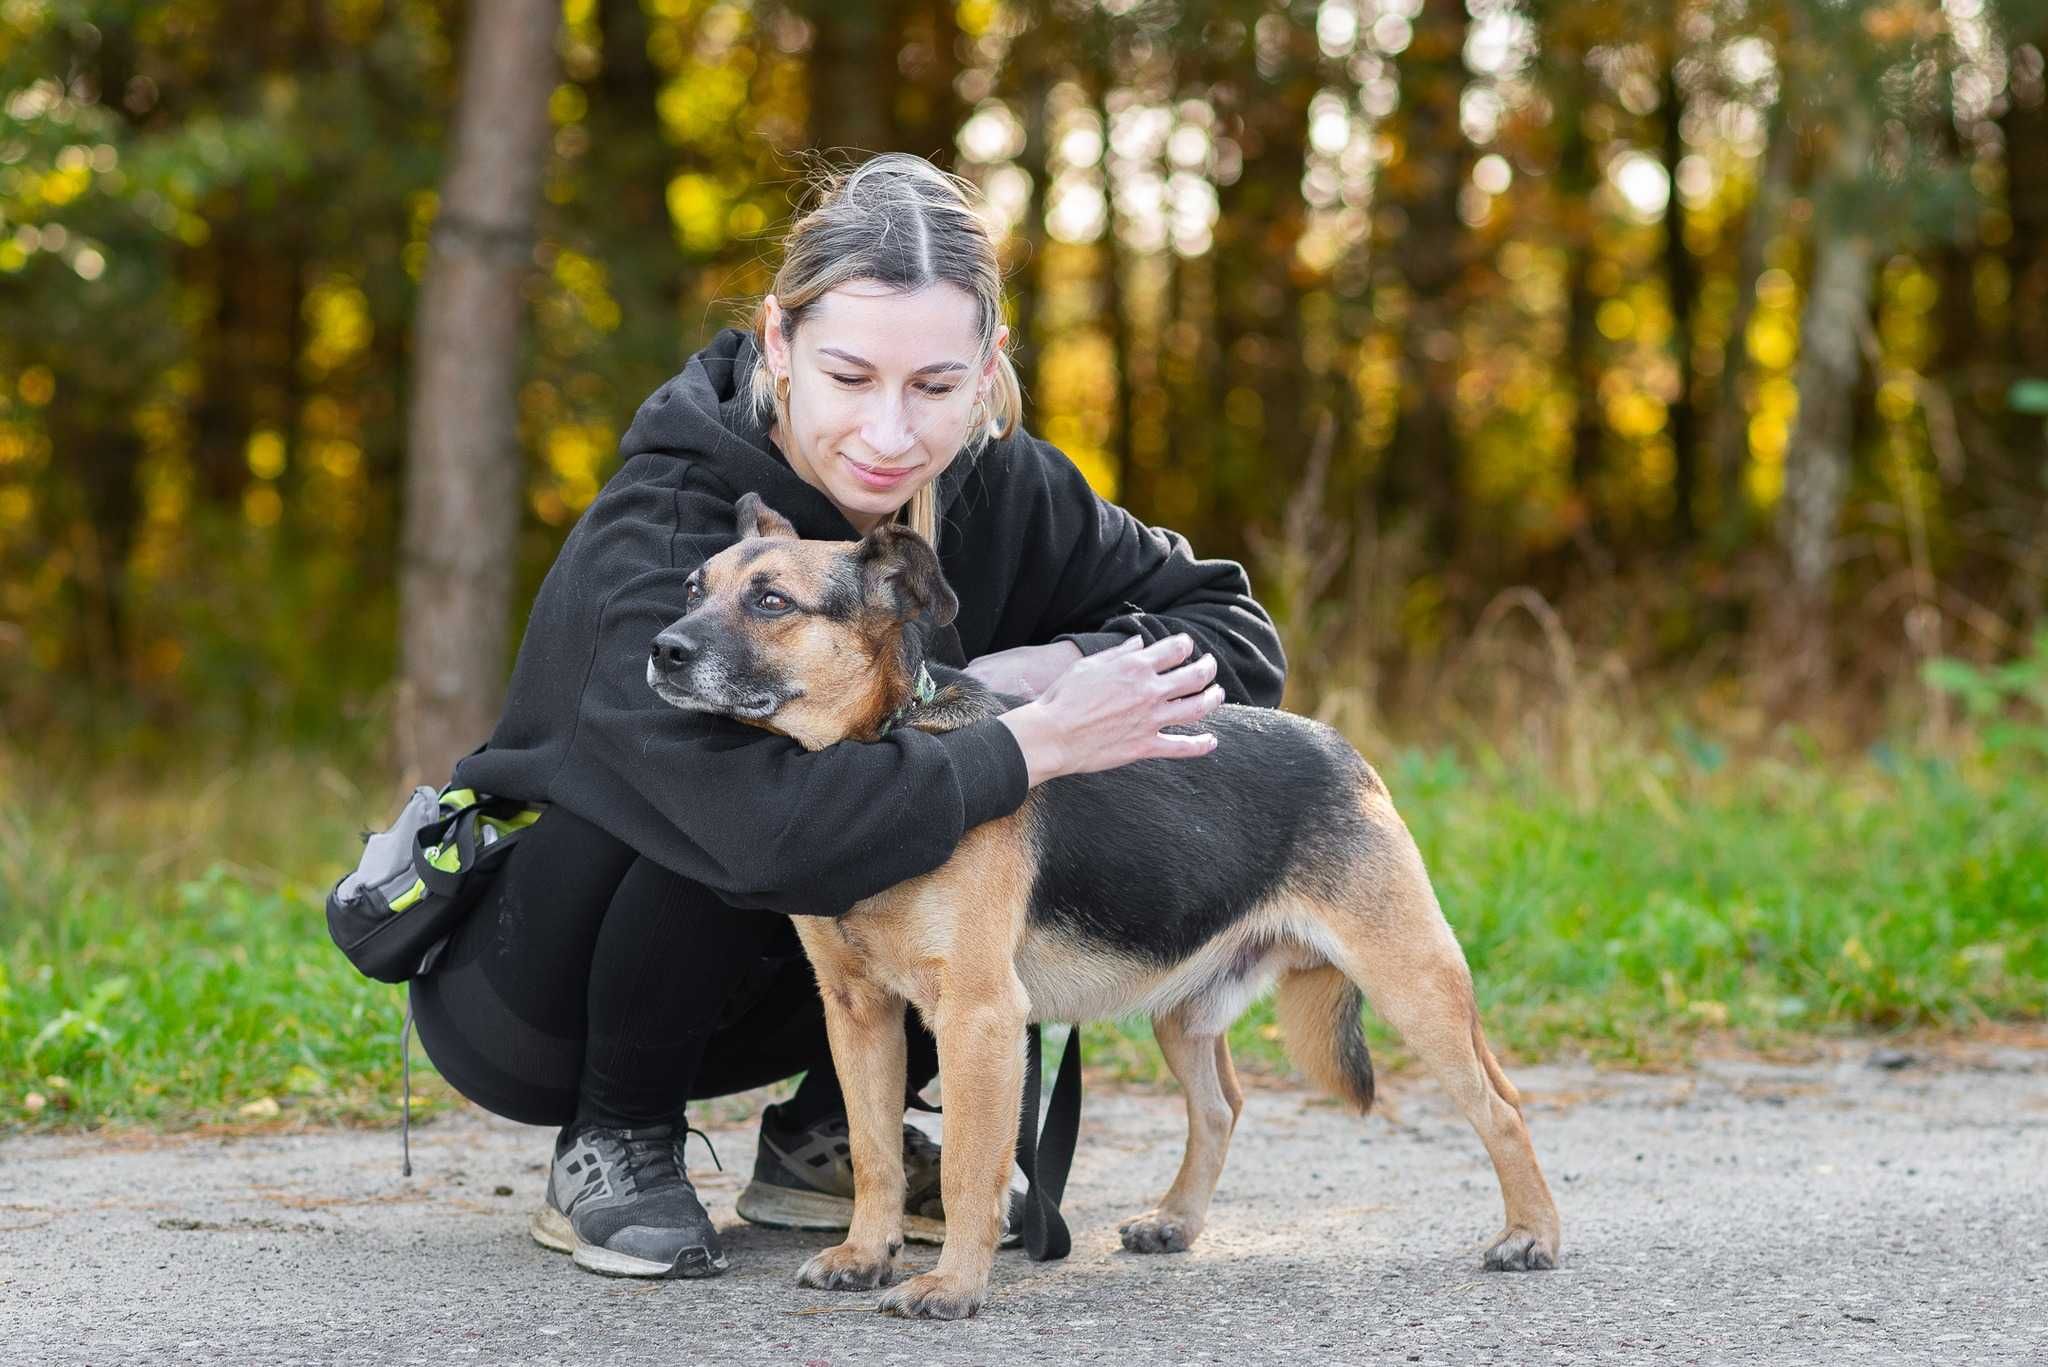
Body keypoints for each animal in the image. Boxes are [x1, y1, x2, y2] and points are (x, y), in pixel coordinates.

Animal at [647, 491, 1556, 1311]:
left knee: (1502, 1105)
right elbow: (873, 1155)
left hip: (1414, 982)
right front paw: (867, 1255)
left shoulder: (980, 1015)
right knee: (1220, 1106)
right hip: (1184, 1007)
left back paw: (1531, 1234)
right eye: (694, 587)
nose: (660, 649)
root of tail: (1341, 750)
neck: (882, 743)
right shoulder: (859, 1012)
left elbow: (971, 1164)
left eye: (771, 600)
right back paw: (1176, 1220)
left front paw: (953, 1285)